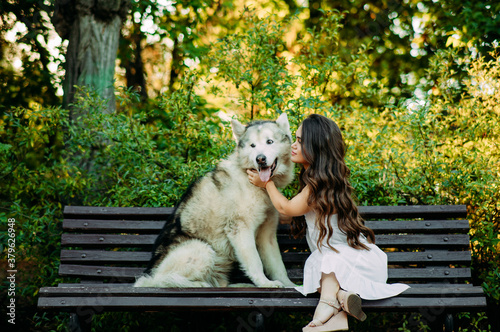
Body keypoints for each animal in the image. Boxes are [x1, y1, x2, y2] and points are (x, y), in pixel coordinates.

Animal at [135, 112, 294, 288]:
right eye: (252, 145)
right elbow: (255, 262)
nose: (260, 159)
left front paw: (291, 285)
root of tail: (150, 272)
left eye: (269, 142)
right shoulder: (240, 229)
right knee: (160, 280)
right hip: (202, 249)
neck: (253, 182)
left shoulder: (267, 235)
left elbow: (278, 266)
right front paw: (265, 283)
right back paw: (198, 285)